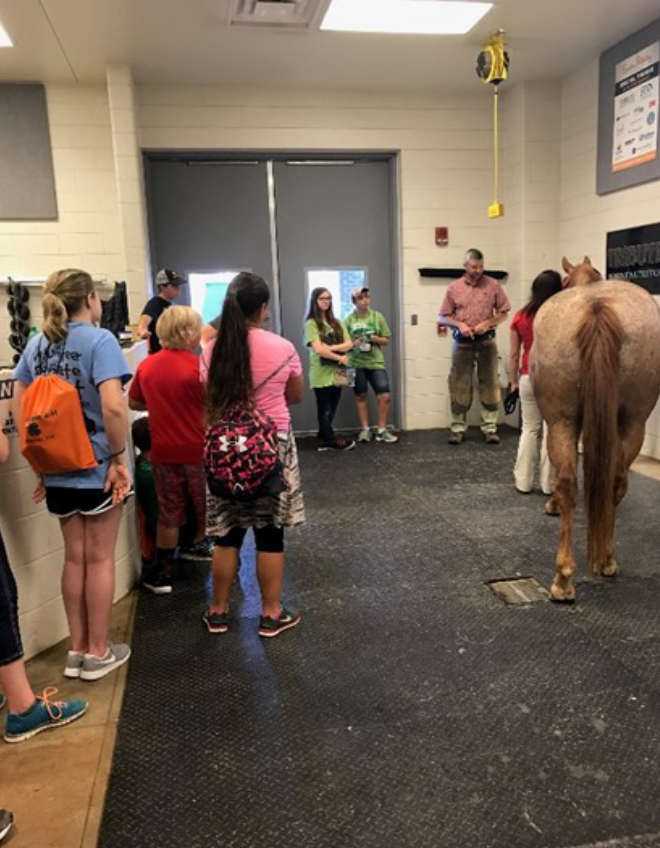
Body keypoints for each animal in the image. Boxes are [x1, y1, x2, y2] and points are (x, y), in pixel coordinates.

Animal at [528, 255, 660, 600]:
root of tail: (597, 306)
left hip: (561, 421)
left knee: (567, 483)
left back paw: (562, 579)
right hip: (633, 422)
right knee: (616, 480)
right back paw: (607, 559)